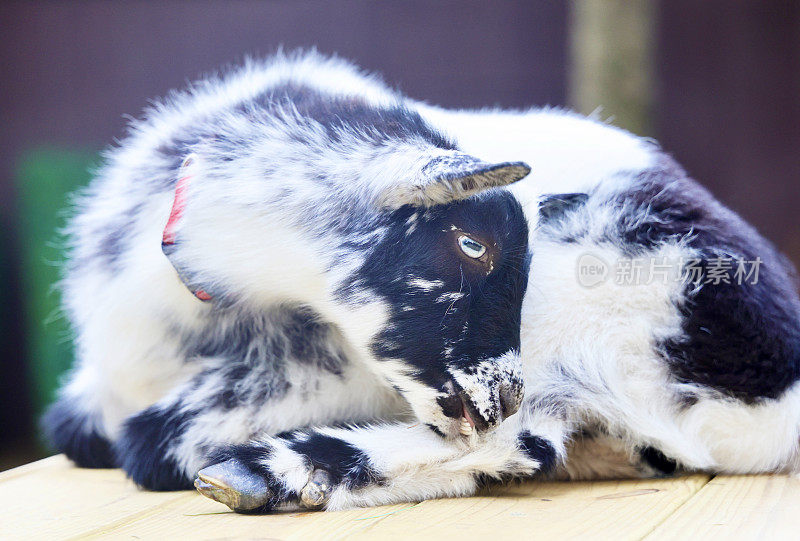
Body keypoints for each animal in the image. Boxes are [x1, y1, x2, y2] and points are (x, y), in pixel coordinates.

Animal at [45, 51, 800, 510]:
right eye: (471, 243)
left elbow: (150, 440)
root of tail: (777, 388)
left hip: (602, 301)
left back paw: (270, 471)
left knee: (527, 444)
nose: (505, 392)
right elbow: (74, 428)